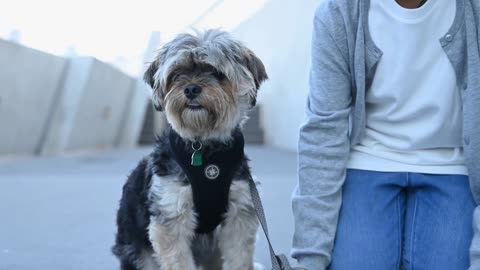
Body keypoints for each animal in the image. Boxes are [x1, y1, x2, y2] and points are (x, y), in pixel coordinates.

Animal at [113, 29, 270, 270]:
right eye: (177, 73)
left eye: (216, 72)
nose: (191, 89)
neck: (205, 150)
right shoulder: (171, 213)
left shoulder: (239, 214)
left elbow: (239, 258)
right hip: (138, 252)